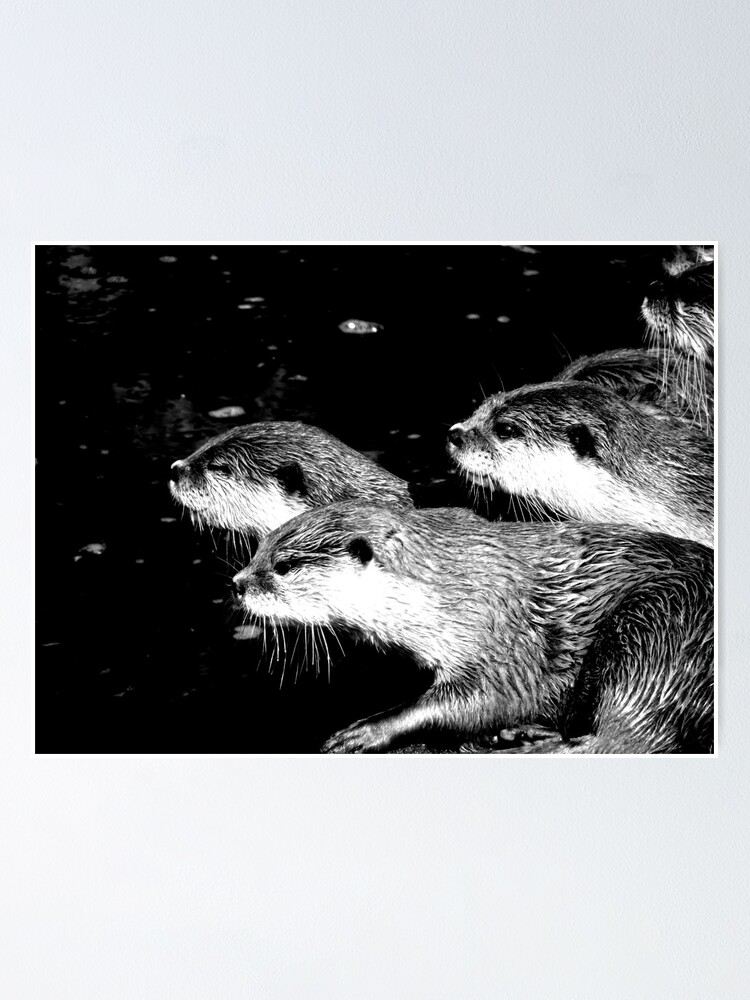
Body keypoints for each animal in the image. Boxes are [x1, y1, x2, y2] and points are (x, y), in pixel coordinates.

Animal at [231, 501, 713, 754]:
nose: (237, 584)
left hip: (656, 625)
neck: (458, 593)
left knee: (625, 737)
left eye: (284, 566)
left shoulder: (506, 645)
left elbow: (486, 699)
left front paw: (363, 731)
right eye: (258, 549)